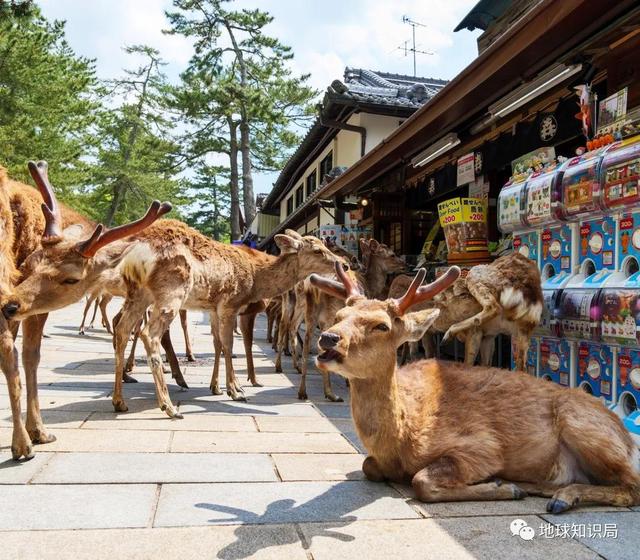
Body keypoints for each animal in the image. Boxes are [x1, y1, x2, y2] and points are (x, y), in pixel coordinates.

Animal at [310, 264, 640, 516]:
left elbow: (421, 481)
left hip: (584, 425)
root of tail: (628, 440)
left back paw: (556, 496)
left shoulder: (481, 446)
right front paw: (505, 486)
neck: (402, 437)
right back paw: (536, 488)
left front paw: (500, 487)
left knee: (632, 485)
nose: (328, 338)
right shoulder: (376, 460)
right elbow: (367, 465)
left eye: (381, 326)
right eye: (338, 317)